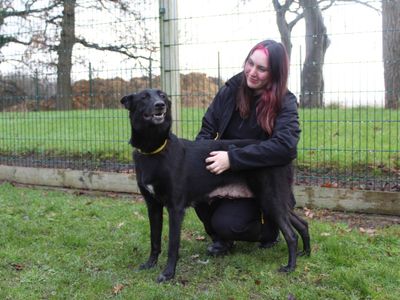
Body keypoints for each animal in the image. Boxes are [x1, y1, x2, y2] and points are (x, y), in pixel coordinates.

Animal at [120, 88, 310, 282]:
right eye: (144, 97)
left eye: (163, 96)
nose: (160, 105)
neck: (154, 150)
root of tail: (287, 158)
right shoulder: (153, 206)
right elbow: (154, 239)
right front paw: (150, 264)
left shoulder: (176, 209)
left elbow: (173, 245)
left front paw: (168, 274)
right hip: (274, 200)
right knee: (302, 224)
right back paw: (305, 253)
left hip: (269, 199)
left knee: (291, 235)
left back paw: (290, 267)